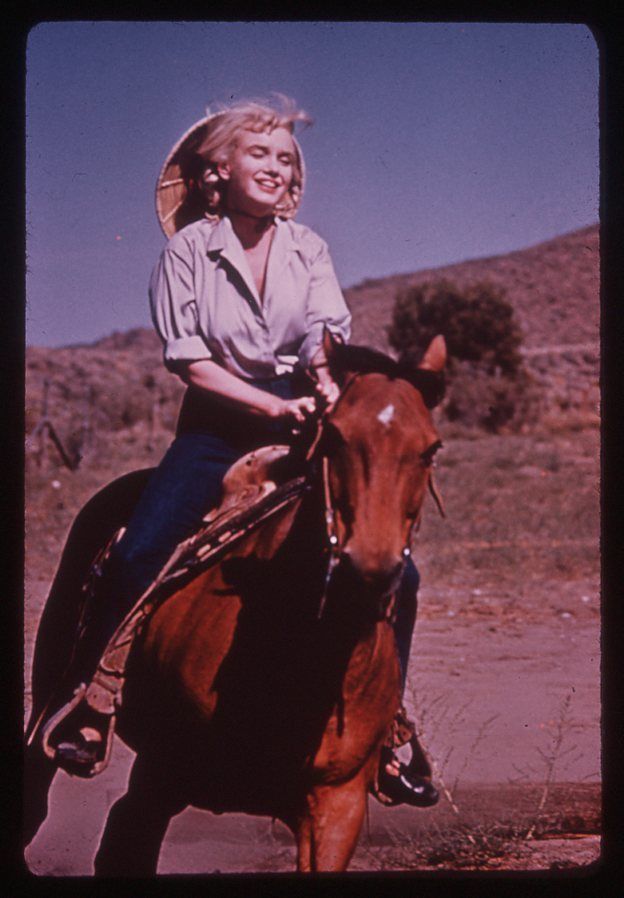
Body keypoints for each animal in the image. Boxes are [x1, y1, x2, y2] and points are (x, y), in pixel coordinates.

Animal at [23, 328, 444, 868]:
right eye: (334, 435)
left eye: (430, 448)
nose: (369, 570)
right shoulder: (161, 773)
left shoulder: (338, 805)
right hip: (51, 695)